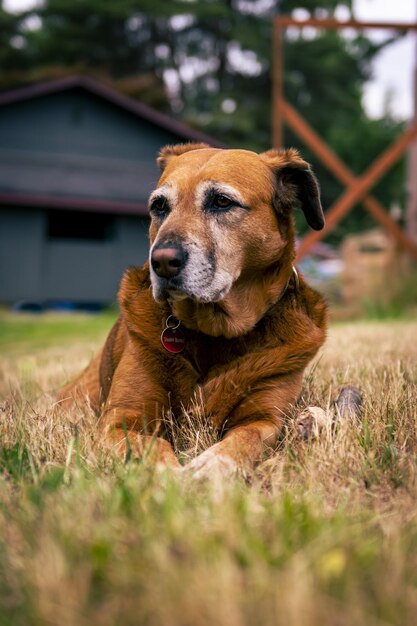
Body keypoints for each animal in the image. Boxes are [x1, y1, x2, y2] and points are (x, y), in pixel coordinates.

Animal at [58, 144, 326, 478]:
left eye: (222, 201)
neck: (213, 331)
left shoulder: (266, 418)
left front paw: (211, 466)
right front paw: (170, 476)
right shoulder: (119, 420)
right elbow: (152, 446)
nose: (161, 261)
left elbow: (245, 439)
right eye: (159, 206)